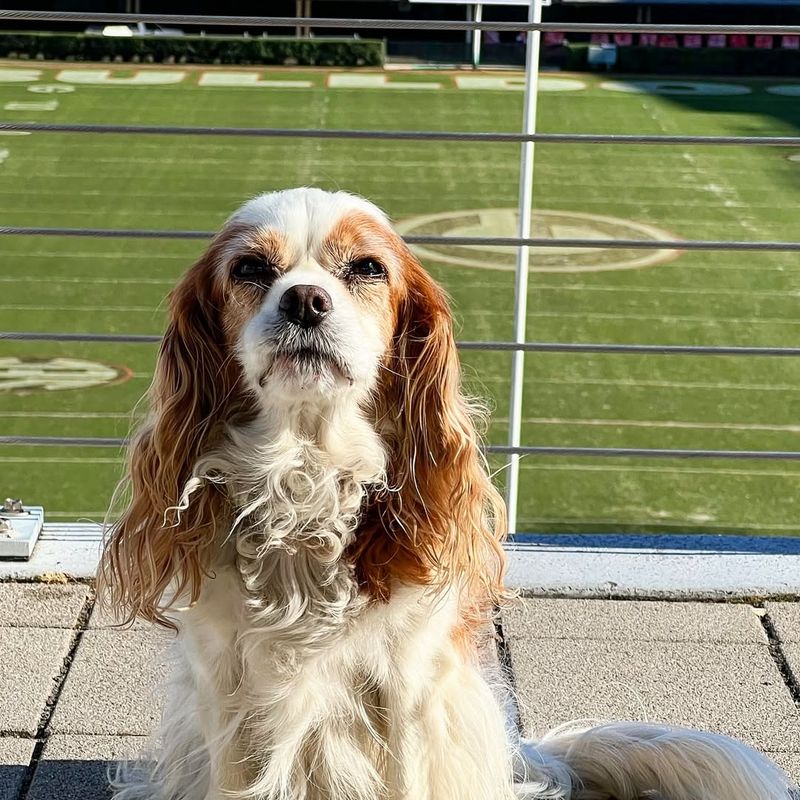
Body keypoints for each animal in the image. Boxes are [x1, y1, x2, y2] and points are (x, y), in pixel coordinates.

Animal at [98, 189, 792, 800]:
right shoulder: (225, 682)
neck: (307, 474)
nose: (305, 300)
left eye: (367, 268)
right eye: (250, 269)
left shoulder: (406, 684)